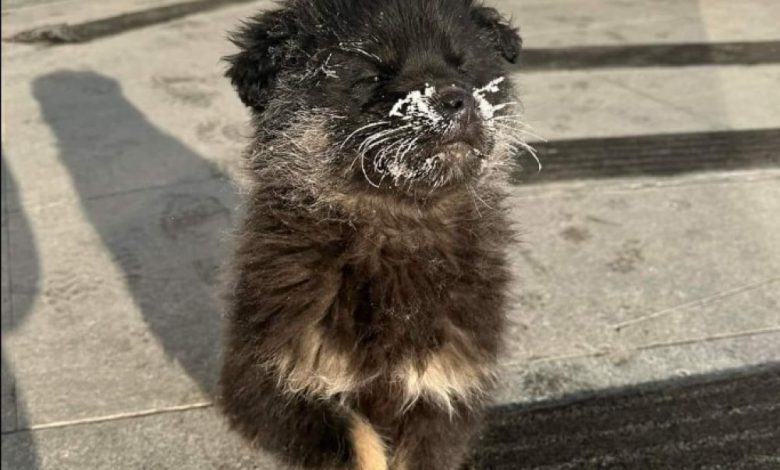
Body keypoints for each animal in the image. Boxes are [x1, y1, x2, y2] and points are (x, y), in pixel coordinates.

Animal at [219, 1, 527, 468]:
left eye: (464, 67)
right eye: (374, 74)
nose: (456, 100)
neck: (397, 227)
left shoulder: (445, 387)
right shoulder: (275, 380)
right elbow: (359, 441)